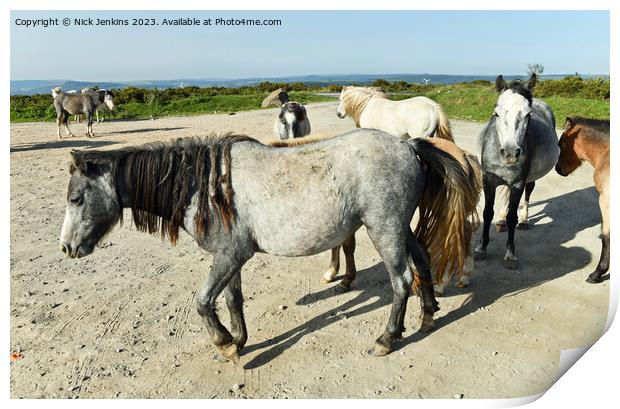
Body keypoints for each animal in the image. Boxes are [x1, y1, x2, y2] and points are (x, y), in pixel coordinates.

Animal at [59, 129, 474, 362]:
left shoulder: (230, 255)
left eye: (76, 198)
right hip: (400, 228)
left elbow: (203, 302)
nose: (66, 248)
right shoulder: (230, 257)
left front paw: (224, 345)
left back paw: (387, 339)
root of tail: (408, 144)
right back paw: (428, 316)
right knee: (422, 259)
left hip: (384, 230)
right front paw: (239, 340)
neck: (205, 187)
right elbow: (231, 299)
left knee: (401, 281)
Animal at [474, 74, 560, 270]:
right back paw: (501, 220)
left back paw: (524, 220)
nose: (510, 153)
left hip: (529, 179)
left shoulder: (518, 183)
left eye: (528, 114)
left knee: (528, 194)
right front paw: (481, 248)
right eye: (496, 113)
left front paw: (510, 254)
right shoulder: (488, 181)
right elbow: (487, 213)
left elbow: (513, 216)